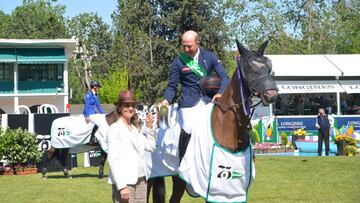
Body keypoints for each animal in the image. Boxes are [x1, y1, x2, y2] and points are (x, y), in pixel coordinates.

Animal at [167, 40, 280, 203]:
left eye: (269, 66)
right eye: (248, 67)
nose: (271, 95)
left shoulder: (234, 189)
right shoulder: (211, 187)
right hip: (175, 178)